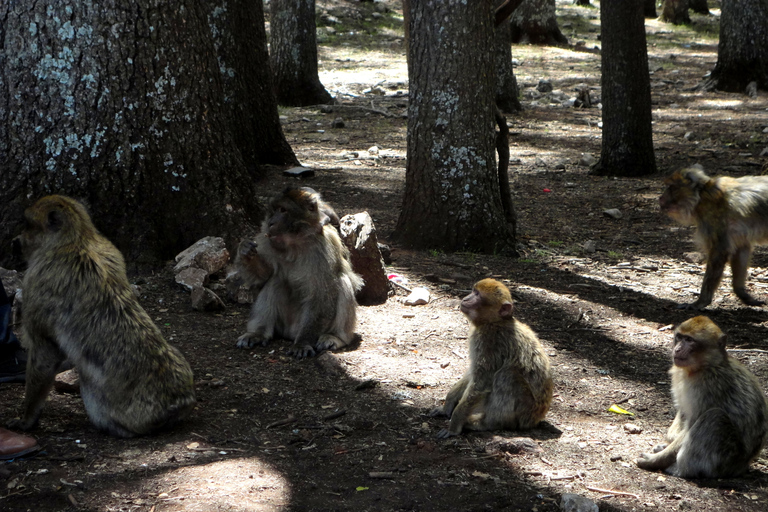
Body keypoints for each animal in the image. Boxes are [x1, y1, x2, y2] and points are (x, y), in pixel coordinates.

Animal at [234, 186, 364, 358]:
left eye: (283, 210)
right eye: (274, 209)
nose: (271, 222)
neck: (294, 244)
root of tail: (291, 333)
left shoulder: (322, 250)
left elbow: (322, 296)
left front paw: (303, 343)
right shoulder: (267, 240)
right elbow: (263, 276)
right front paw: (245, 251)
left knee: (342, 282)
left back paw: (336, 337)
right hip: (283, 324)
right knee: (275, 280)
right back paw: (258, 333)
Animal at [432, 278, 552, 438]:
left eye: (477, 294)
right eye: (473, 291)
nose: (466, 298)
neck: (494, 322)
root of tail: (537, 419)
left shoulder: (489, 342)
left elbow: (481, 383)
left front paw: (454, 425)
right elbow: (472, 374)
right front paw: (447, 406)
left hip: (525, 412)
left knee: (507, 375)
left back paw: (488, 423)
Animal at [636, 316, 768, 480]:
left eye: (689, 340)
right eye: (679, 337)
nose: (677, 349)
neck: (702, 367)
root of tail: (742, 467)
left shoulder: (709, 386)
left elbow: (694, 422)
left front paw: (656, 460)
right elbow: (684, 412)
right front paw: (667, 443)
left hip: (724, 459)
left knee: (714, 417)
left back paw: (681, 469)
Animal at [656, 166, 768, 308]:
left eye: (671, 187)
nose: (660, 198)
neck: (700, 197)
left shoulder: (712, 217)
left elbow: (720, 250)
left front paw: (701, 301)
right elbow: (741, 250)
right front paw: (742, 294)